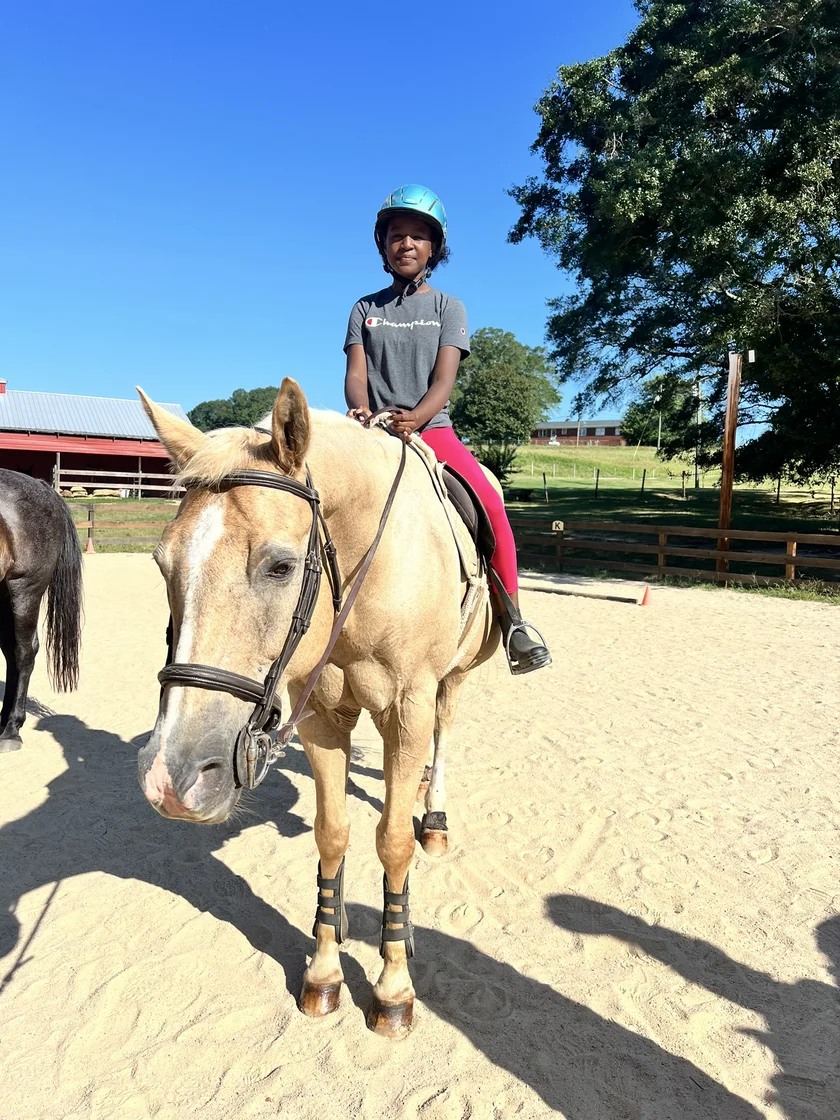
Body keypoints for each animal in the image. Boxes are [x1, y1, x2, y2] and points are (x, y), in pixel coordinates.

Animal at [136, 378, 498, 1039]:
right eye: (162, 562)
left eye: (280, 565)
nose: (172, 781)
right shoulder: (321, 720)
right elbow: (332, 835)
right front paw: (325, 970)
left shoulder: (408, 709)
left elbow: (394, 843)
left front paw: (393, 987)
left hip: (453, 678)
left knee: (442, 738)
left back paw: (432, 815)